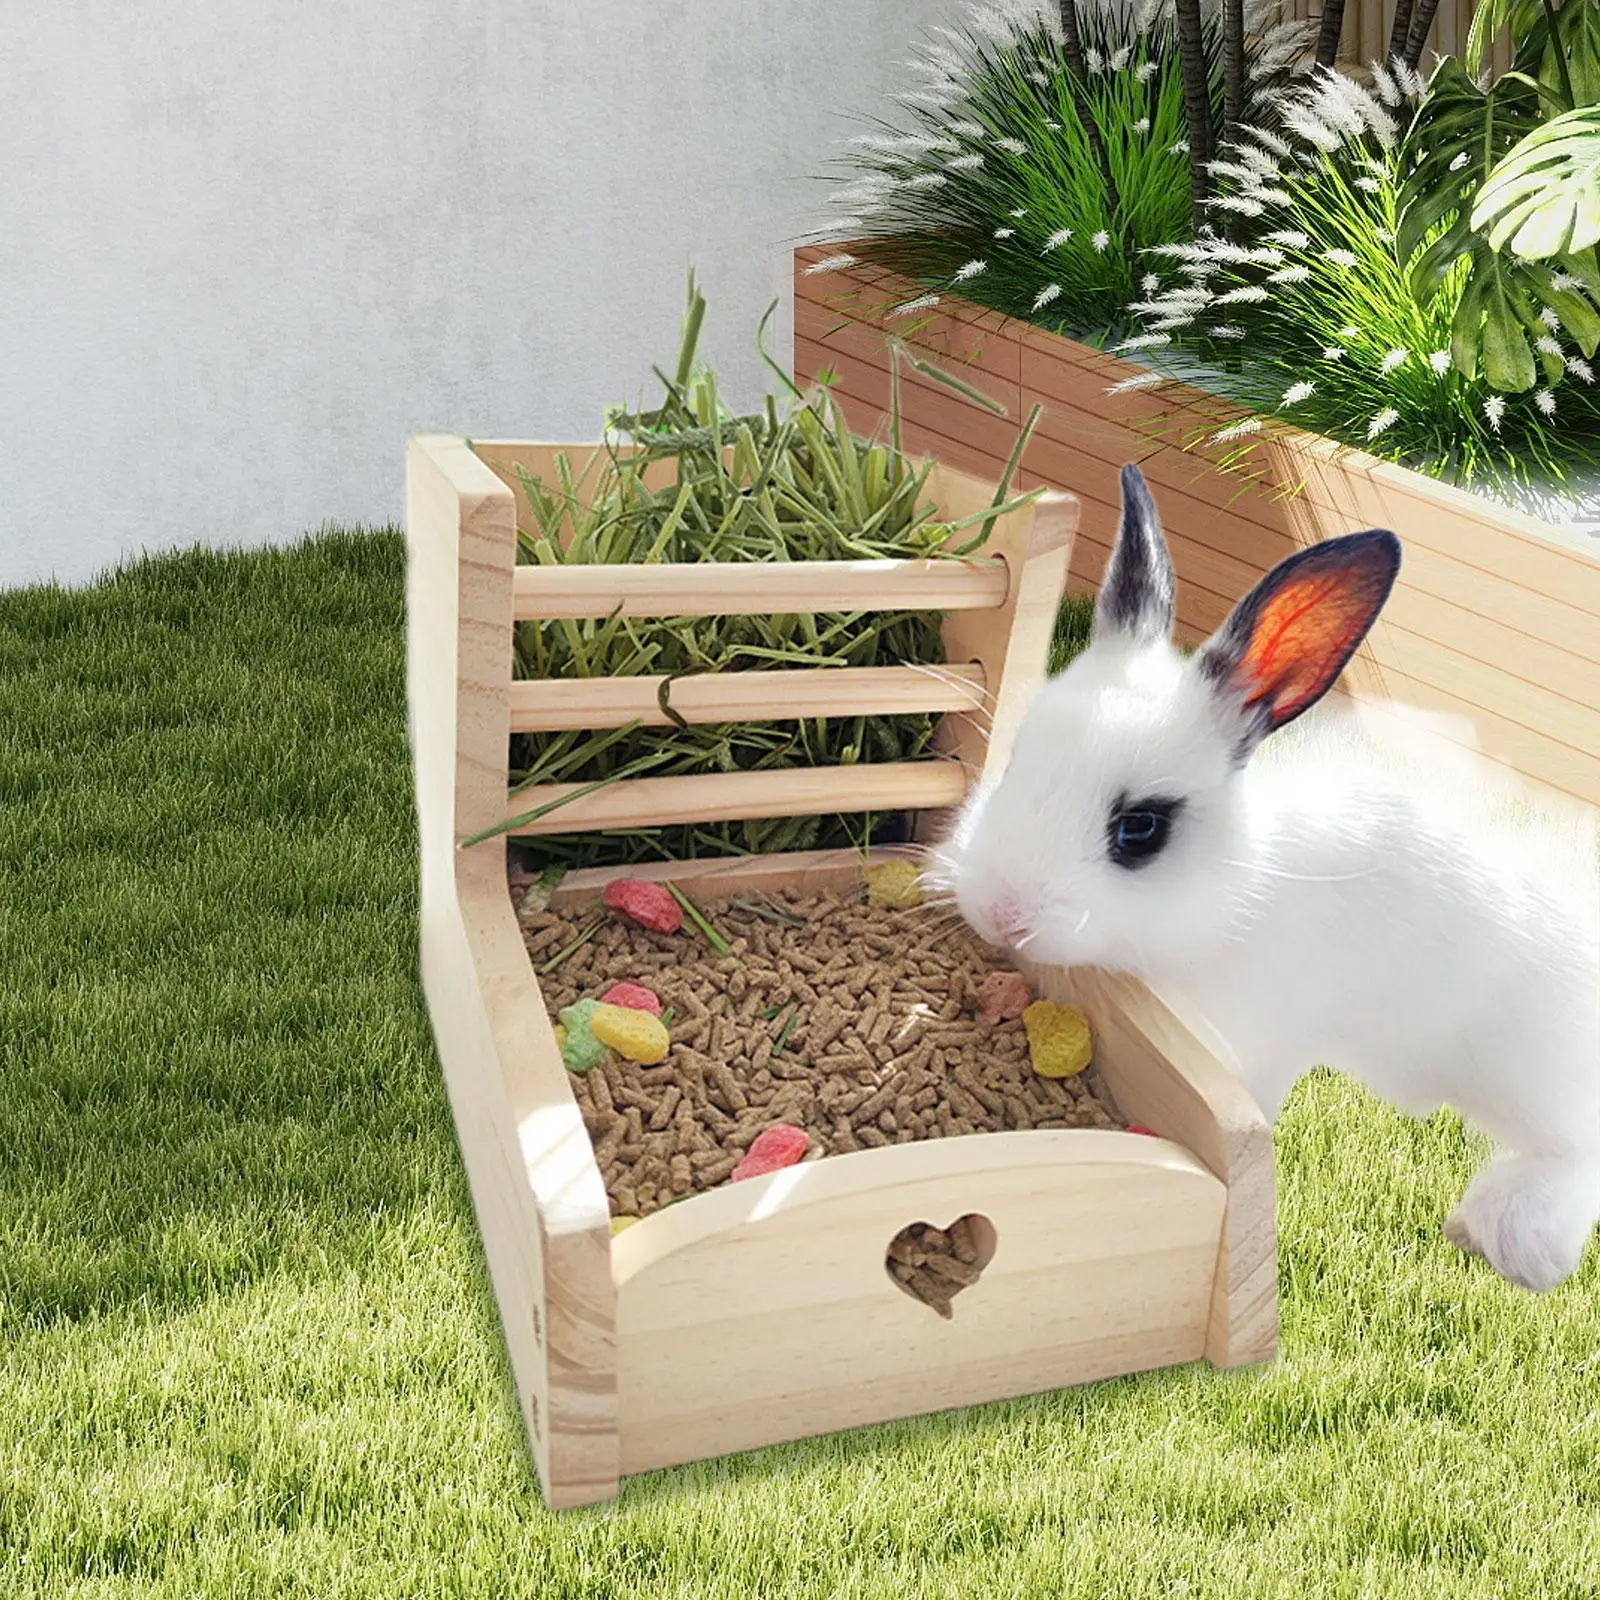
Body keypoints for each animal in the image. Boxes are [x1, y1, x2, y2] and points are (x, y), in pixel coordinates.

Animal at [928, 462, 1600, 1293]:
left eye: (1141, 828)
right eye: (1020, 757)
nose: (1001, 911)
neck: (1235, 896)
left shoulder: (1254, 1045)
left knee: (1575, 1153)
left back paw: (1502, 1235)